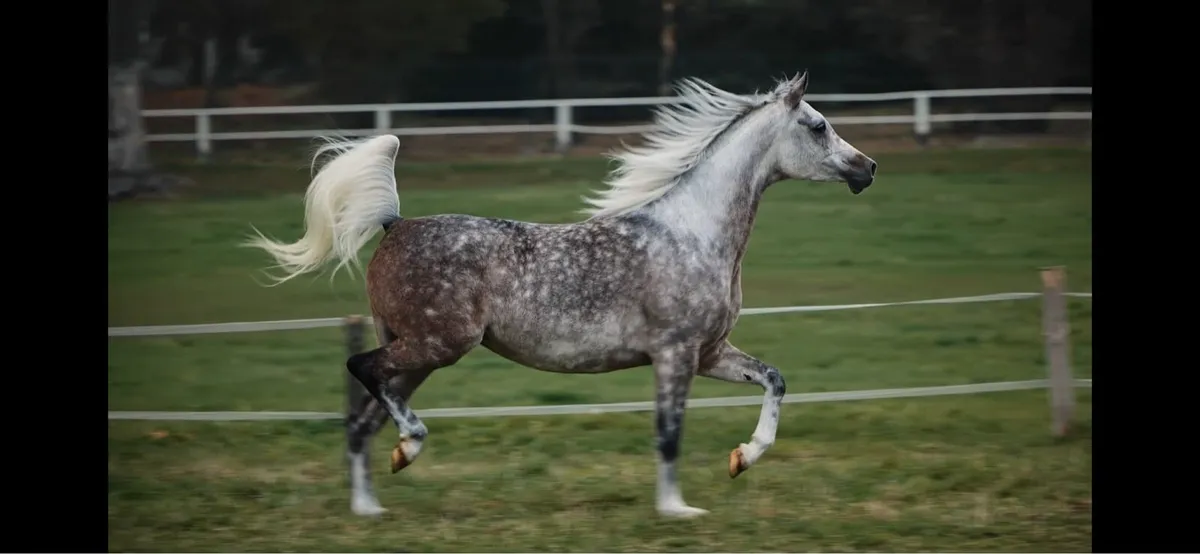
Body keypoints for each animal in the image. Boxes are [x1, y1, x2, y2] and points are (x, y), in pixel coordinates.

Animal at [245, 71, 877, 519]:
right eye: (818, 126)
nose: (867, 168)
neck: (694, 233)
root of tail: (394, 224)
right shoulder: (674, 354)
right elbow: (668, 433)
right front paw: (677, 510)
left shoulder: (709, 352)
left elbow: (774, 380)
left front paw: (741, 460)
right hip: (436, 345)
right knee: (362, 373)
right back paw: (411, 449)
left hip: (418, 353)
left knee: (364, 419)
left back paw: (371, 506)